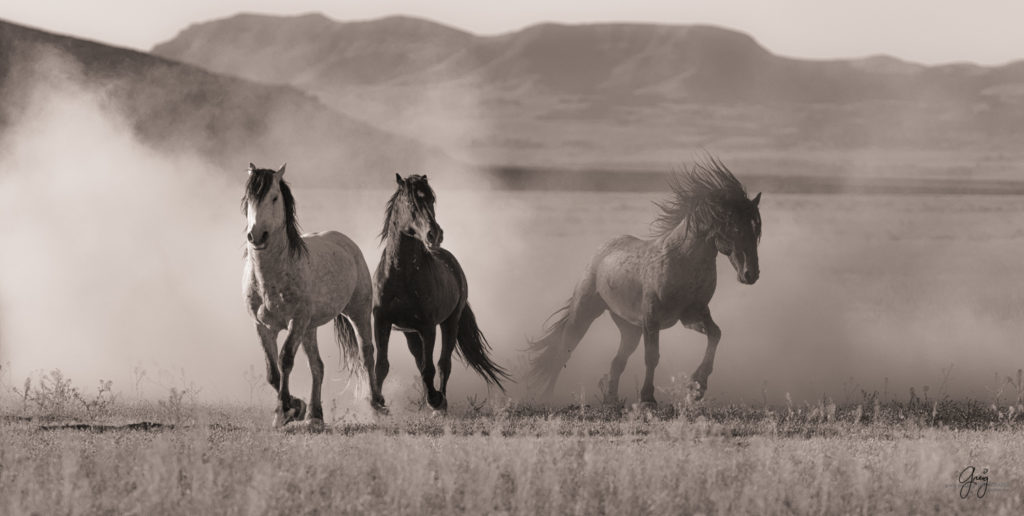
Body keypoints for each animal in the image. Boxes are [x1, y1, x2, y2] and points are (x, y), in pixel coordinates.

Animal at [241, 163, 382, 427]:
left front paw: (285, 410)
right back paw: (315, 414)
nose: (256, 236)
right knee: (318, 366)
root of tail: (347, 242)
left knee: (367, 353)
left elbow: (285, 360)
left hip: (358, 311)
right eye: (248, 199)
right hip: (310, 328)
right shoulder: (263, 326)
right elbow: (272, 373)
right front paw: (295, 407)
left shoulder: (296, 322)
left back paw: (377, 404)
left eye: (274, 197)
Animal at [372, 173, 507, 411]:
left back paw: (439, 402)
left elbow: (430, 368)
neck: (400, 275)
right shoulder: (382, 321)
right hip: (410, 332)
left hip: (449, 323)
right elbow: (382, 366)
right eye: (411, 202)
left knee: (443, 363)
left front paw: (435, 400)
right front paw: (377, 404)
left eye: (431, 200)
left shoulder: (428, 327)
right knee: (421, 361)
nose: (434, 234)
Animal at [528, 155, 761, 405]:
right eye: (735, 227)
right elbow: (652, 357)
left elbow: (715, 334)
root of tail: (601, 252)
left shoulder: (692, 315)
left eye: (756, 230)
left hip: (629, 329)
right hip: (584, 313)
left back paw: (610, 397)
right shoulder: (652, 320)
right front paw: (648, 397)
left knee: (617, 361)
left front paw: (697, 386)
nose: (751, 274)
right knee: (564, 351)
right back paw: (546, 397)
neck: (683, 261)